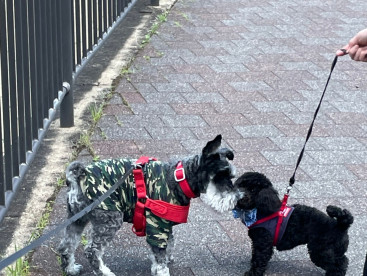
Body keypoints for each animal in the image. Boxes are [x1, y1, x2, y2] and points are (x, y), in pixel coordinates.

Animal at [57, 135, 239, 276]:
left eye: (231, 176)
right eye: (220, 176)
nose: (237, 198)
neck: (179, 179)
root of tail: (79, 176)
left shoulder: (163, 225)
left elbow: (166, 246)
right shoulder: (158, 224)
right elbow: (160, 256)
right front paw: (162, 270)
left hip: (77, 218)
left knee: (66, 245)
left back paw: (71, 269)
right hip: (109, 220)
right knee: (92, 251)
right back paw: (104, 272)